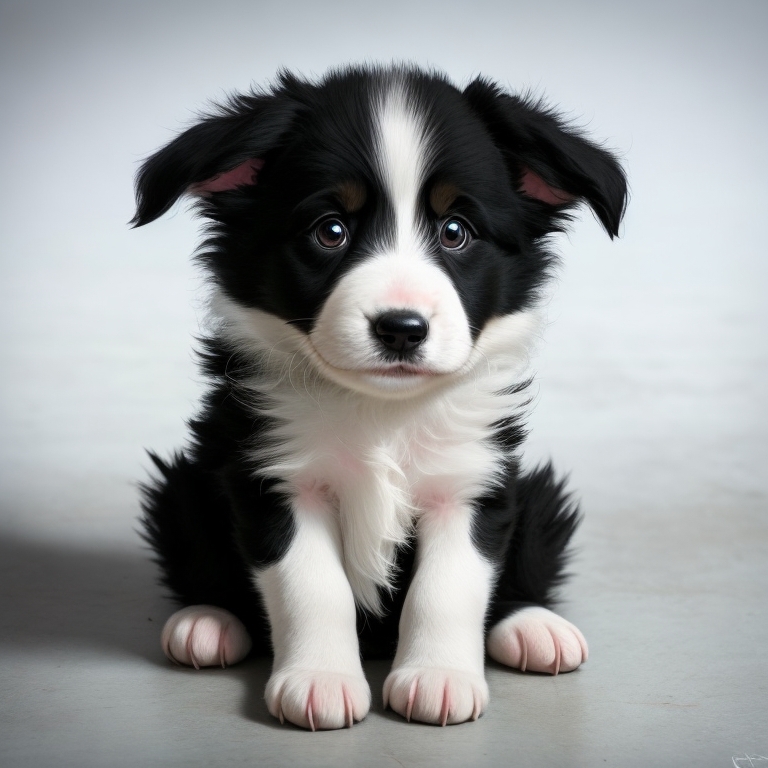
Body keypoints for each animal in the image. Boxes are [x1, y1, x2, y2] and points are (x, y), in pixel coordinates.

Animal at [134, 63, 624, 728]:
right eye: (330, 231)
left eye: (455, 231)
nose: (401, 327)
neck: (381, 412)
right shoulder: (271, 476)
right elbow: (313, 585)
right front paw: (320, 680)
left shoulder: (470, 479)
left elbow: (448, 587)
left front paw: (438, 677)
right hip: (181, 487)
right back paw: (207, 621)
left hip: (537, 493)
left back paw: (533, 627)